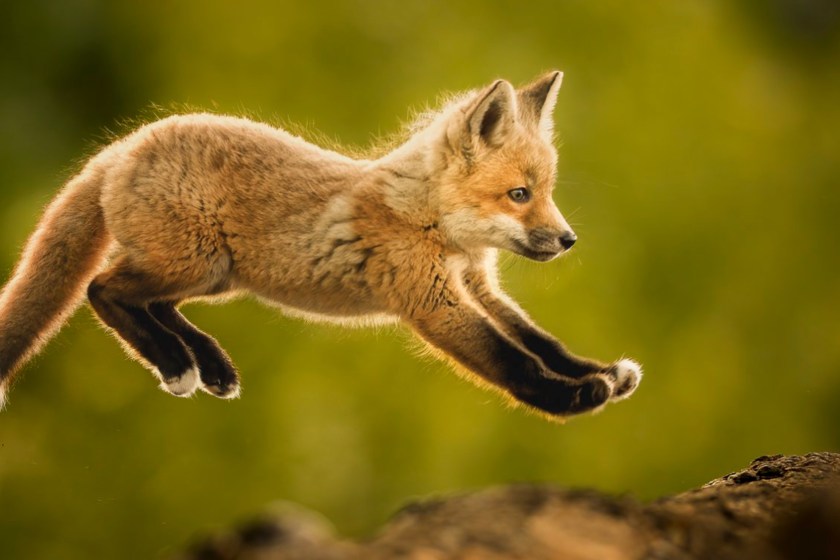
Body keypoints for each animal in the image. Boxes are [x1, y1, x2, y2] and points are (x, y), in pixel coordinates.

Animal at [0, 71, 641, 418]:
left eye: (544, 192)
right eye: (518, 194)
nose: (567, 240)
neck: (435, 226)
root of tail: (124, 145)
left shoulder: (479, 285)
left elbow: (541, 341)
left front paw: (601, 371)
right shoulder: (433, 301)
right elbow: (513, 361)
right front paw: (575, 398)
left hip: (215, 276)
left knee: (148, 302)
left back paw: (207, 364)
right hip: (195, 263)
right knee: (103, 289)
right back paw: (179, 364)